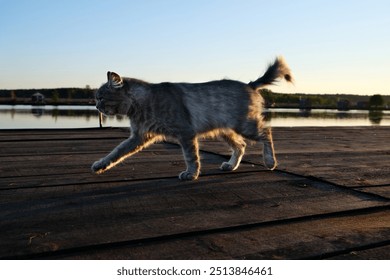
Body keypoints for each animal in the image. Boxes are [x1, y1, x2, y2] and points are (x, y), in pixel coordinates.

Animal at [91, 56, 292, 179]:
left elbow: (191, 156)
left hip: (244, 125)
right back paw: (231, 165)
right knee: (241, 145)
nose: (95, 105)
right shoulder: (139, 136)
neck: (143, 103)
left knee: (266, 133)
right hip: (225, 131)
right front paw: (101, 164)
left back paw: (270, 161)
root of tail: (249, 84)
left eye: (101, 97)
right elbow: (116, 152)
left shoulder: (185, 133)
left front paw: (191, 174)